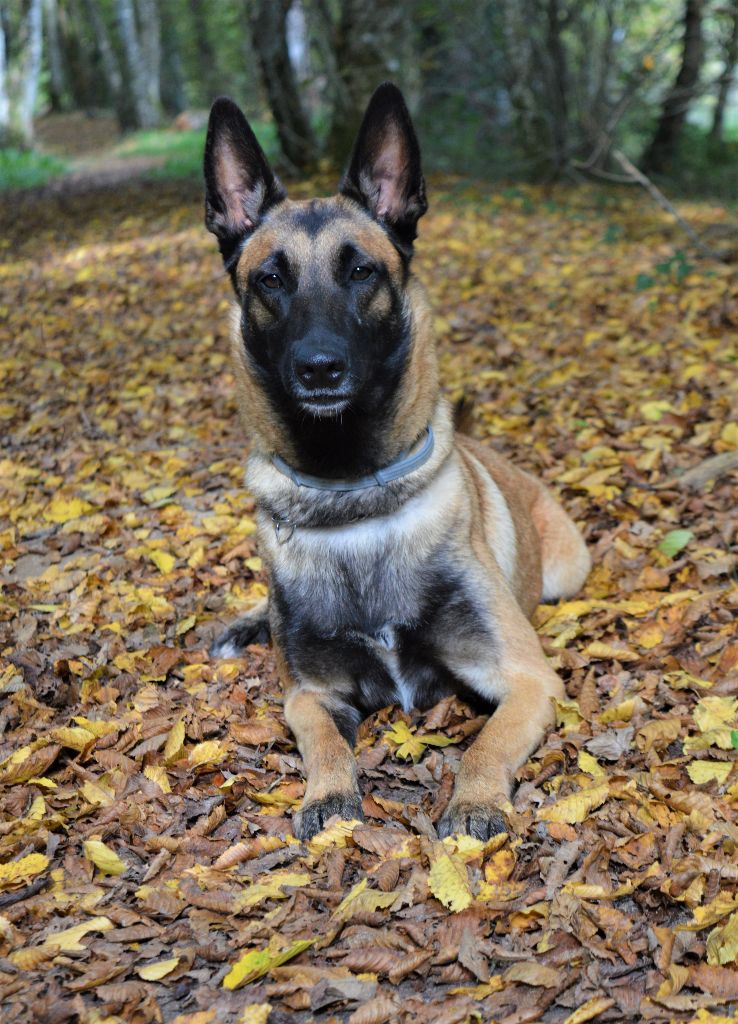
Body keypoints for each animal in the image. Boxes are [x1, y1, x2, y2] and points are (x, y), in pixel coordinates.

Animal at [199, 86, 585, 839]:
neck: (352, 496)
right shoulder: (310, 694)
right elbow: (323, 740)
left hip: (565, 576)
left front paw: (474, 800)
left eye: (361, 271)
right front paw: (327, 793)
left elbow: (484, 744)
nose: (319, 368)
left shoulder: (526, 680)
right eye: (270, 280)